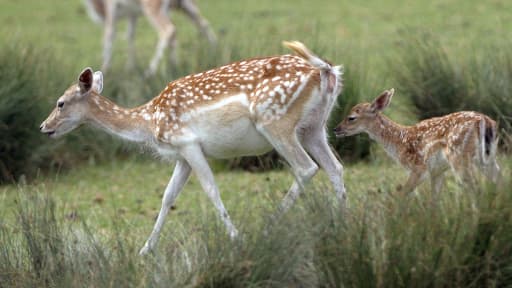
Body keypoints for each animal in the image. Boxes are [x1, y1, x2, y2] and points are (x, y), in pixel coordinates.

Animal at [40, 41, 344, 254]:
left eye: (60, 103)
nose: (44, 127)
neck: (149, 122)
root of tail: (326, 72)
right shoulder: (181, 155)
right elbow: (168, 196)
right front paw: (145, 250)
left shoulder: (188, 143)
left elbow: (211, 190)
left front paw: (237, 239)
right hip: (315, 127)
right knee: (335, 167)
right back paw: (344, 223)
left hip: (276, 122)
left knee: (306, 168)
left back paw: (268, 227)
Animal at [85, 0, 217, 75]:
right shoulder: (132, 14)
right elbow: (130, 35)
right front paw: (130, 67)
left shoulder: (111, 9)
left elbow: (109, 36)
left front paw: (105, 70)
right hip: (184, 5)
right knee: (202, 23)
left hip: (153, 6)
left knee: (168, 29)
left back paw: (150, 72)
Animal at [332, 88, 500, 196]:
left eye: (351, 117)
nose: (335, 129)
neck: (399, 141)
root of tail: (485, 121)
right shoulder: (437, 171)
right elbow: (434, 201)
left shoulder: (418, 168)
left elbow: (402, 195)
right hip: (487, 157)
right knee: (499, 180)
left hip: (459, 156)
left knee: (476, 189)